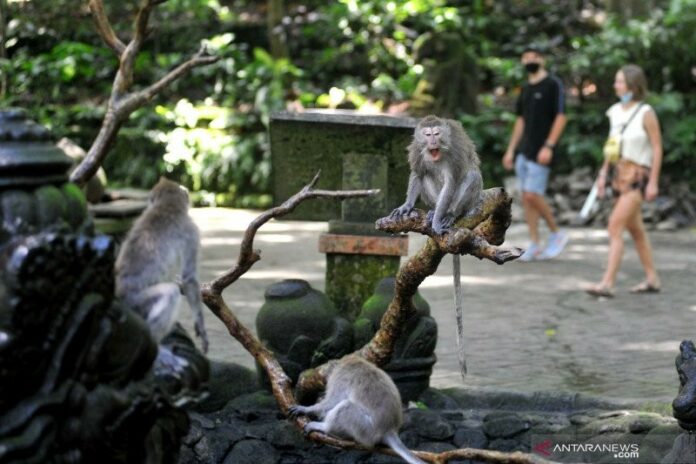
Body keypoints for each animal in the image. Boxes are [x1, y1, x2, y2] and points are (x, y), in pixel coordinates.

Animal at [115, 177, 208, 370]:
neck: (167, 205)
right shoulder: (191, 231)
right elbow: (189, 278)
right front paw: (201, 325)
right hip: (136, 303)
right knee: (170, 293)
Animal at [288, 355, 426, 464]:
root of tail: (389, 429)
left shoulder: (340, 377)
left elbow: (333, 400)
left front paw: (306, 409)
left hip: (365, 429)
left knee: (346, 406)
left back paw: (325, 428)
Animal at [390, 115, 483, 377]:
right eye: (427, 134)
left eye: (437, 133)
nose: (432, 141)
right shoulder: (418, 151)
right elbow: (417, 173)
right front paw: (407, 205)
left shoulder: (454, 154)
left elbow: (452, 181)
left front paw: (441, 218)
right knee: (426, 176)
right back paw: (432, 211)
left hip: (470, 200)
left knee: (470, 176)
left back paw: (448, 215)